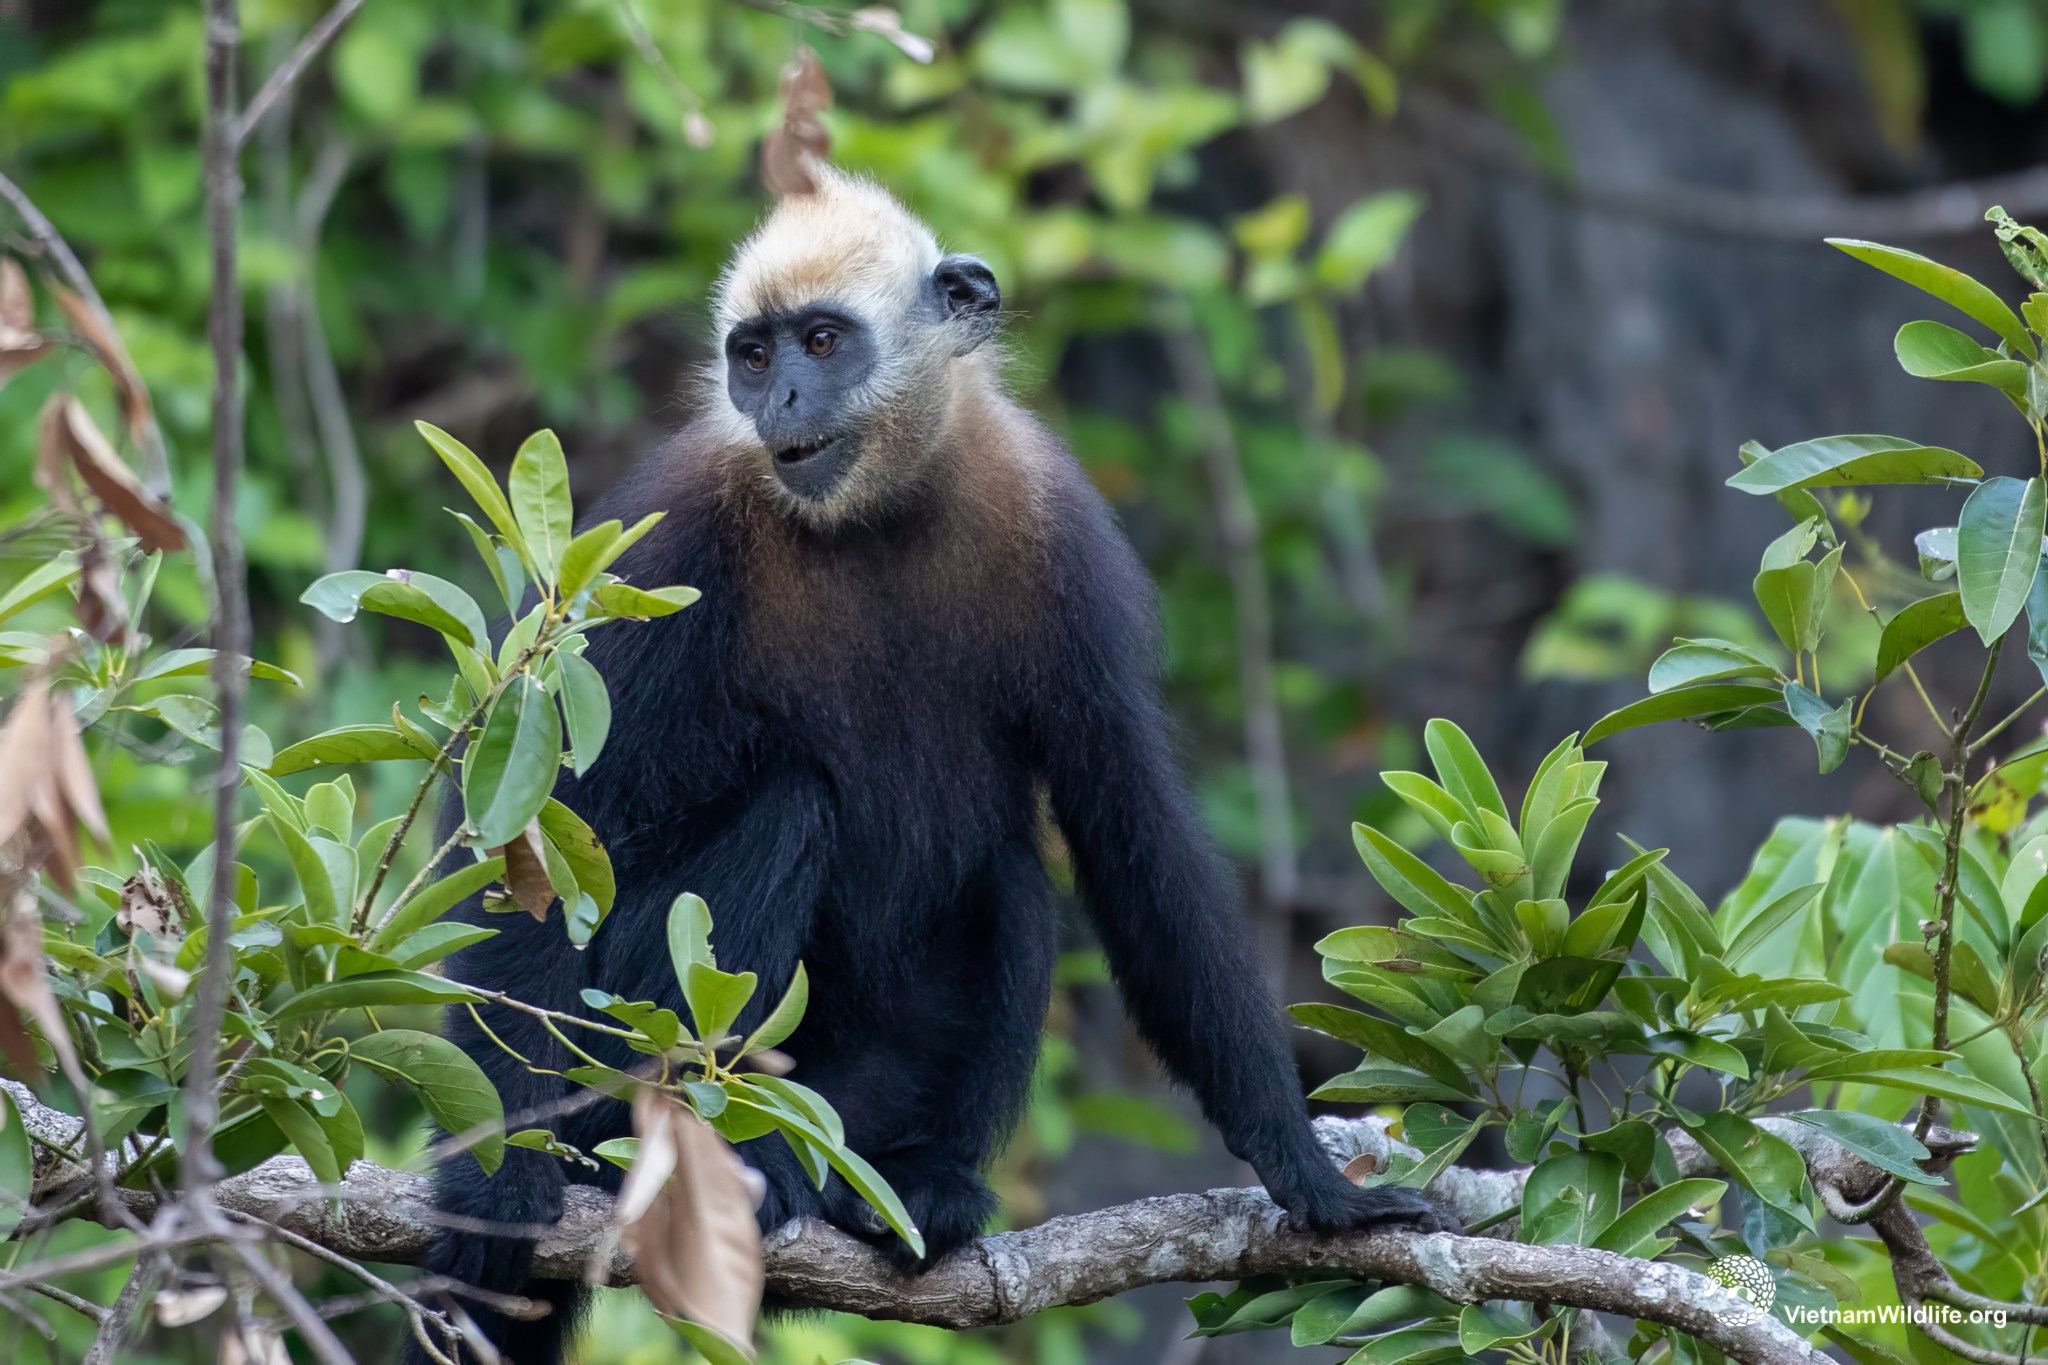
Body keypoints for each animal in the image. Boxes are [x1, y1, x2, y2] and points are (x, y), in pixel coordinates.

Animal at [414, 167, 1454, 1364]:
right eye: (752, 355)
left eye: (822, 342)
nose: (780, 402)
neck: (876, 517)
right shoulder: (665, 534)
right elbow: (543, 827)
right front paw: (495, 1184)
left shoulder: (1062, 533)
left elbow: (1129, 824)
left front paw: (1306, 1175)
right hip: (613, 1045)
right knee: (791, 808)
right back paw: (736, 1164)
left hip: (866, 1096)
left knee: (1007, 873)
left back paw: (906, 1190)